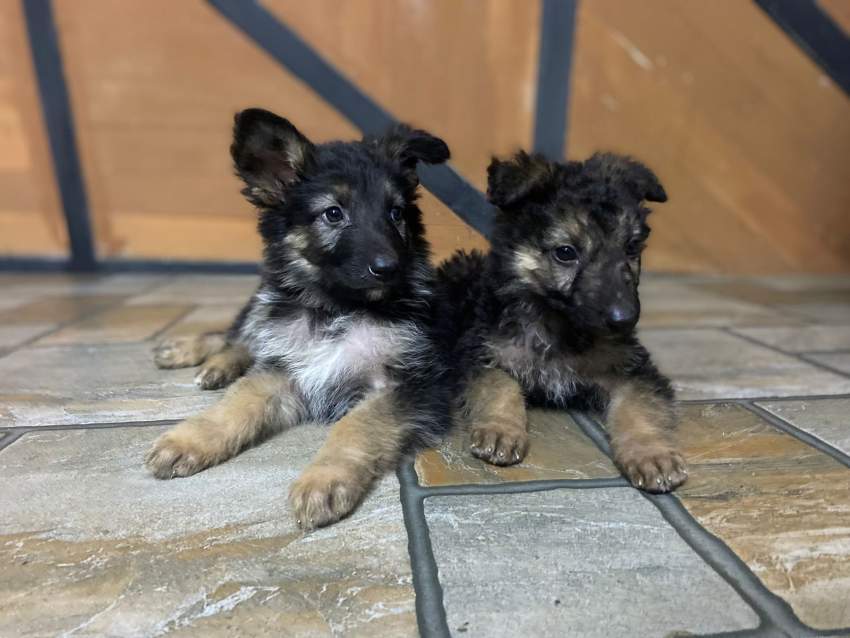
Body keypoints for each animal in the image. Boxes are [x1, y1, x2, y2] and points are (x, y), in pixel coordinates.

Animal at [147, 110, 450, 528]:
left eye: (396, 213)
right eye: (333, 213)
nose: (390, 268)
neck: (337, 309)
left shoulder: (402, 382)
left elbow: (355, 426)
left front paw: (323, 480)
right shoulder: (283, 367)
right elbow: (238, 401)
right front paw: (189, 439)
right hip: (264, 303)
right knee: (237, 333)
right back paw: (193, 354)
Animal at [434, 150, 684, 496]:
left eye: (631, 247)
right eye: (566, 252)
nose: (625, 319)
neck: (559, 325)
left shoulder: (634, 370)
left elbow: (638, 408)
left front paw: (652, 454)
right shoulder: (480, 353)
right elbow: (500, 385)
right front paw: (501, 429)